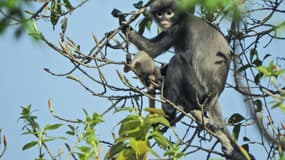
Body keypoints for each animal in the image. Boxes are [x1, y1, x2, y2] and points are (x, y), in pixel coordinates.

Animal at [113, 0, 246, 159]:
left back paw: (168, 111)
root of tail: (213, 96)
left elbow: (155, 50)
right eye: (160, 13)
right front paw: (122, 21)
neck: (183, 18)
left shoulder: (178, 29)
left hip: (198, 94)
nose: (164, 19)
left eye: (169, 13)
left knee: (178, 60)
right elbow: (151, 49)